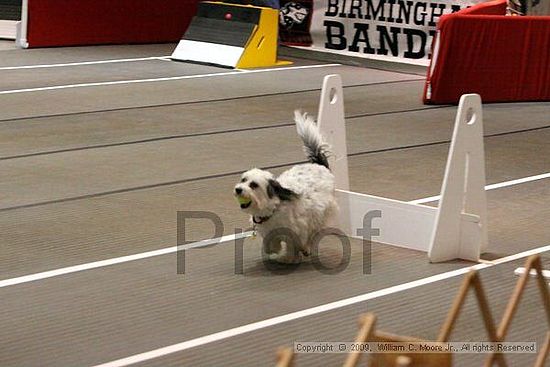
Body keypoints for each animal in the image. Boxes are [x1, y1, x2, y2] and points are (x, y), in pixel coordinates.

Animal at [233, 110, 336, 264]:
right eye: (243, 179)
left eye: (253, 185)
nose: (238, 189)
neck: (273, 210)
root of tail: (319, 165)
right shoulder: (268, 232)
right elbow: (270, 244)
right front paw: (274, 249)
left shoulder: (297, 231)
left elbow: (293, 244)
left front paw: (289, 257)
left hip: (321, 215)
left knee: (313, 233)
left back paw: (307, 248)